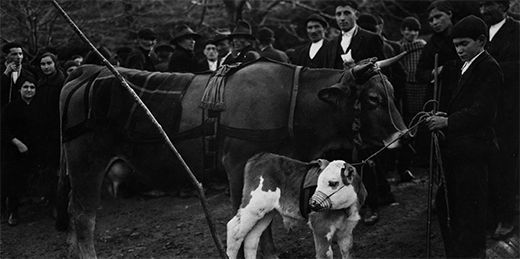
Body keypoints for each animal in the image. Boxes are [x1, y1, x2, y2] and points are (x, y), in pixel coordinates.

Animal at [226, 152, 366, 259]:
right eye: (318, 181)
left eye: (333, 183)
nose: (312, 203)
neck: (347, 209)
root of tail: (260, 156)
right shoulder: (320, 227)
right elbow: (325, 254)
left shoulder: (346, 232)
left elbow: (347, 251)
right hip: (253, 207)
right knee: (234, 230)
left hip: (265, 213)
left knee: (252, 238)